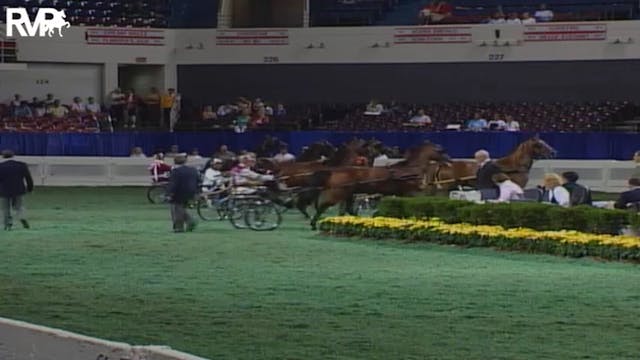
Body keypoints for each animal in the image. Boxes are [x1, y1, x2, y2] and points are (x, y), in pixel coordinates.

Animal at [308, 142, 450, 229]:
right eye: (440, 152)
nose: (449, 161)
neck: (409, 170)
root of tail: (336, 171)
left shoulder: (404, 194)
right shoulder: (413, 193)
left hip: (348, 194)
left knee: (346, 208)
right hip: (339, 193)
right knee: (324, 205)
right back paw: (314, 222)